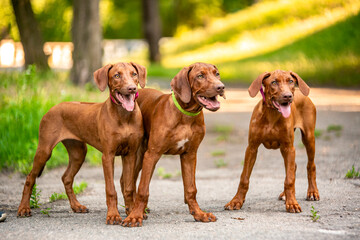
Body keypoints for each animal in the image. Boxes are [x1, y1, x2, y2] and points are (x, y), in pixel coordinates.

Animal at [16, 62, 146, 225]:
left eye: (134, 74)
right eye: (117, 75)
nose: (132, 88)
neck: (124, 116)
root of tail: (53, 107)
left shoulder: (130, 154)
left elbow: (129, 188)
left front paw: (131, 212)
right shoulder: (107, 156)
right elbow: (111, 189)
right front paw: (113, 215)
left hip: (78, 152)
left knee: (66, 178)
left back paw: (76, 206)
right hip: (44, 150)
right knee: (29, 178)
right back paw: (23, 208)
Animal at [122, 62, 226, 227]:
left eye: (217, 74)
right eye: (200, 76)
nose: (221, 87)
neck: (185, 115)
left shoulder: (190, 155)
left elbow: (191, 189)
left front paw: (199, 214)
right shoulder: (152, 154)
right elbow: (143, 189)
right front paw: (135, 216)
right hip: (140, 155)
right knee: (129, 181)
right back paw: (131, 210)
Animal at [224, 70, 320, 213]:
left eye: (290, 81)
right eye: (274, 82)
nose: (288, 96)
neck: (272, 115)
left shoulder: (289, 147)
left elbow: (289, 179)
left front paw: (292, 203)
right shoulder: (252, 148)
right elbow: (244, 178)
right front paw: (236, 201)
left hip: (308, 138)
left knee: (310, 165)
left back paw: (312, 192)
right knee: (294, 166)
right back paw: (286, 195)